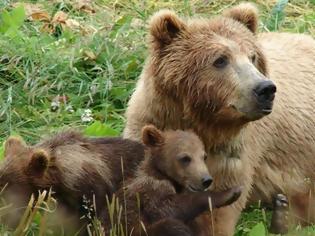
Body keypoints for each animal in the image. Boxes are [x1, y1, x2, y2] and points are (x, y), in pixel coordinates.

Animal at [123, 2, 315, 236]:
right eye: (220, 60)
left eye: (252, 57)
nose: (265, 89)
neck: (203, 123)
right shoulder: (151, 124)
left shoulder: (230, 156)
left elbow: (216, 212)